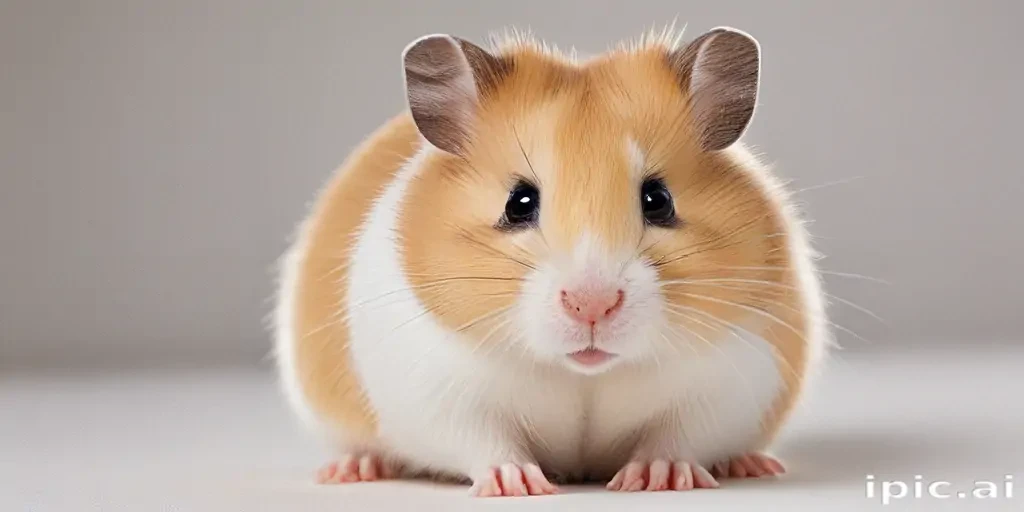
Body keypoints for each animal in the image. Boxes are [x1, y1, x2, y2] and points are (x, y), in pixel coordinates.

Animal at [274, 26, 828, 497]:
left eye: (658, 200)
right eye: (518, 203)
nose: (591, 306)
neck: (583, 373)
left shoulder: (730, 384)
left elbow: (679, 436)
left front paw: (659, 479)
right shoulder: (438, 390)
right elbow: (483, 441)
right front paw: (518, 485)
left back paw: (754, 464)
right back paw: (352, 470)